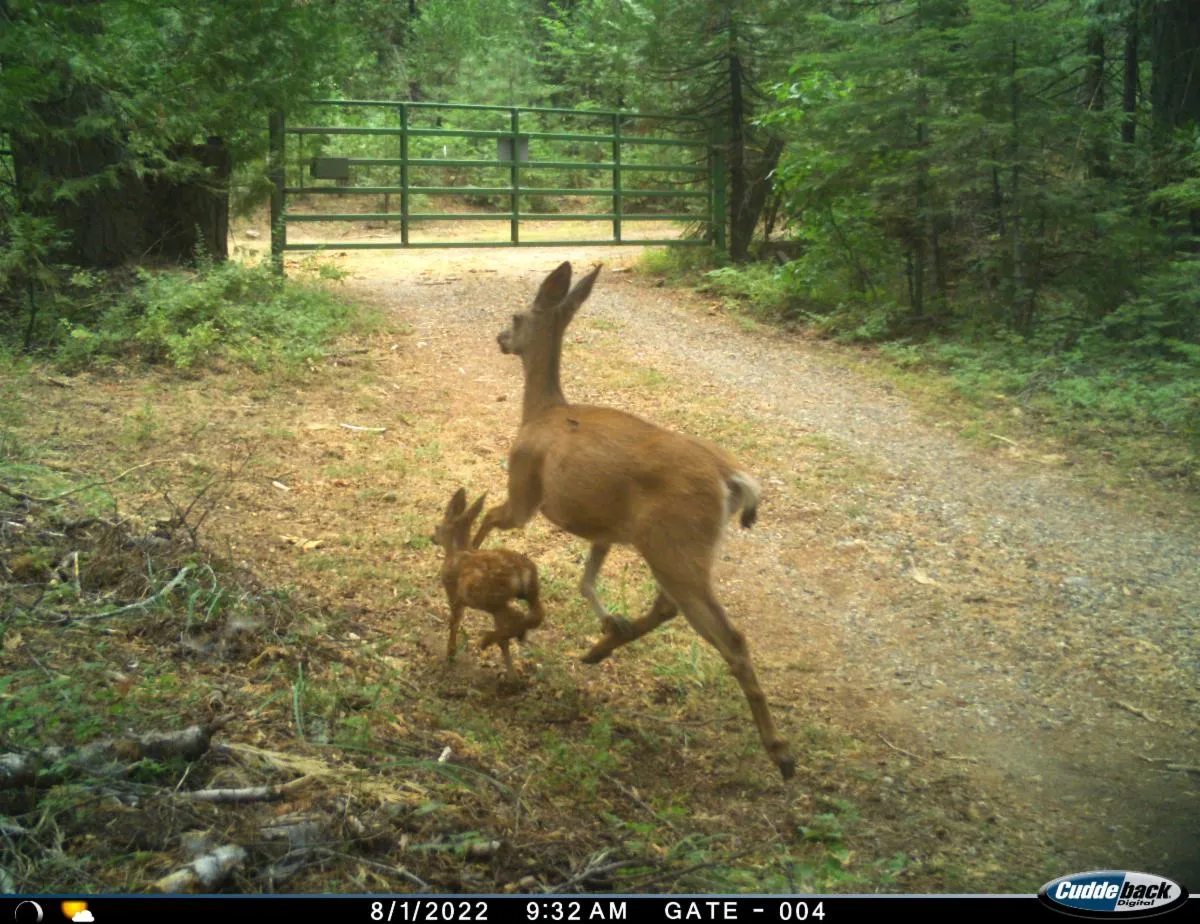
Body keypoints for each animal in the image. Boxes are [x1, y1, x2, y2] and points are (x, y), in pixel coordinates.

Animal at [434, 487, 545, 685]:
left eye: (437, 527)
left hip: (488, 598)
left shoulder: (454, 595)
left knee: (519, 615)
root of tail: (520, 574)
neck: (457, 550)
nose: (432, 538)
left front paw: (450, 654)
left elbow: (454, 621)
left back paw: (486, 640)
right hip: (529, 590)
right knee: (534, 615)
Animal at [471, 262, 796, 780]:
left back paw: (781, 753)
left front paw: (469, 558)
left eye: (517, 315)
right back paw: (600, 648)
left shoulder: (525, 490)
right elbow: (586, 580)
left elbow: (491, 516)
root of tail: (732, 479)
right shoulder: (602, 527)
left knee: (729, 637)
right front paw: (607, 620)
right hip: (675, 546)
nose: (501, 338)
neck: (540, 412)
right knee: (669, 608)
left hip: (673, 544)